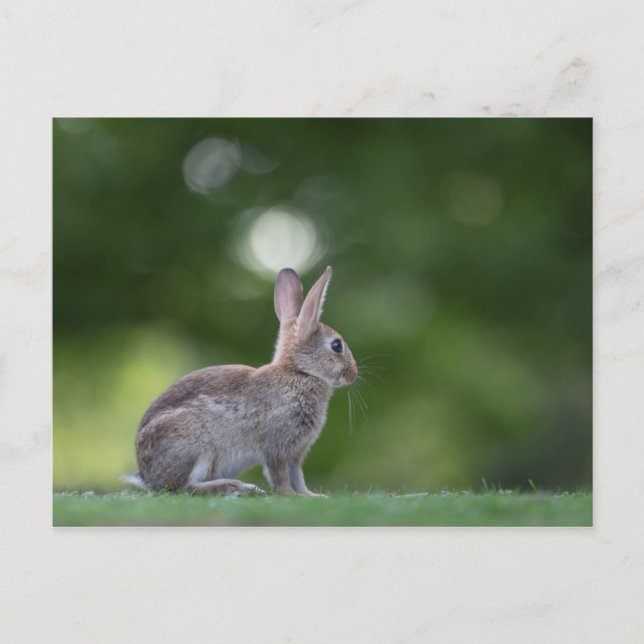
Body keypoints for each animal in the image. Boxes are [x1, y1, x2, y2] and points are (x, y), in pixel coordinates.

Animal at [122, 266, 357, 497]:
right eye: (337, 345)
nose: (353, 374)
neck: (300, 371)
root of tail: (147, 475)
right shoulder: (277, 445)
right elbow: (279, 473)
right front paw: (289, 495)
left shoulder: (297, 451)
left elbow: (297, 475)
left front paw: (310, 495)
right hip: (195, 445)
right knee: (183, 487)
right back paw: (236, 487)